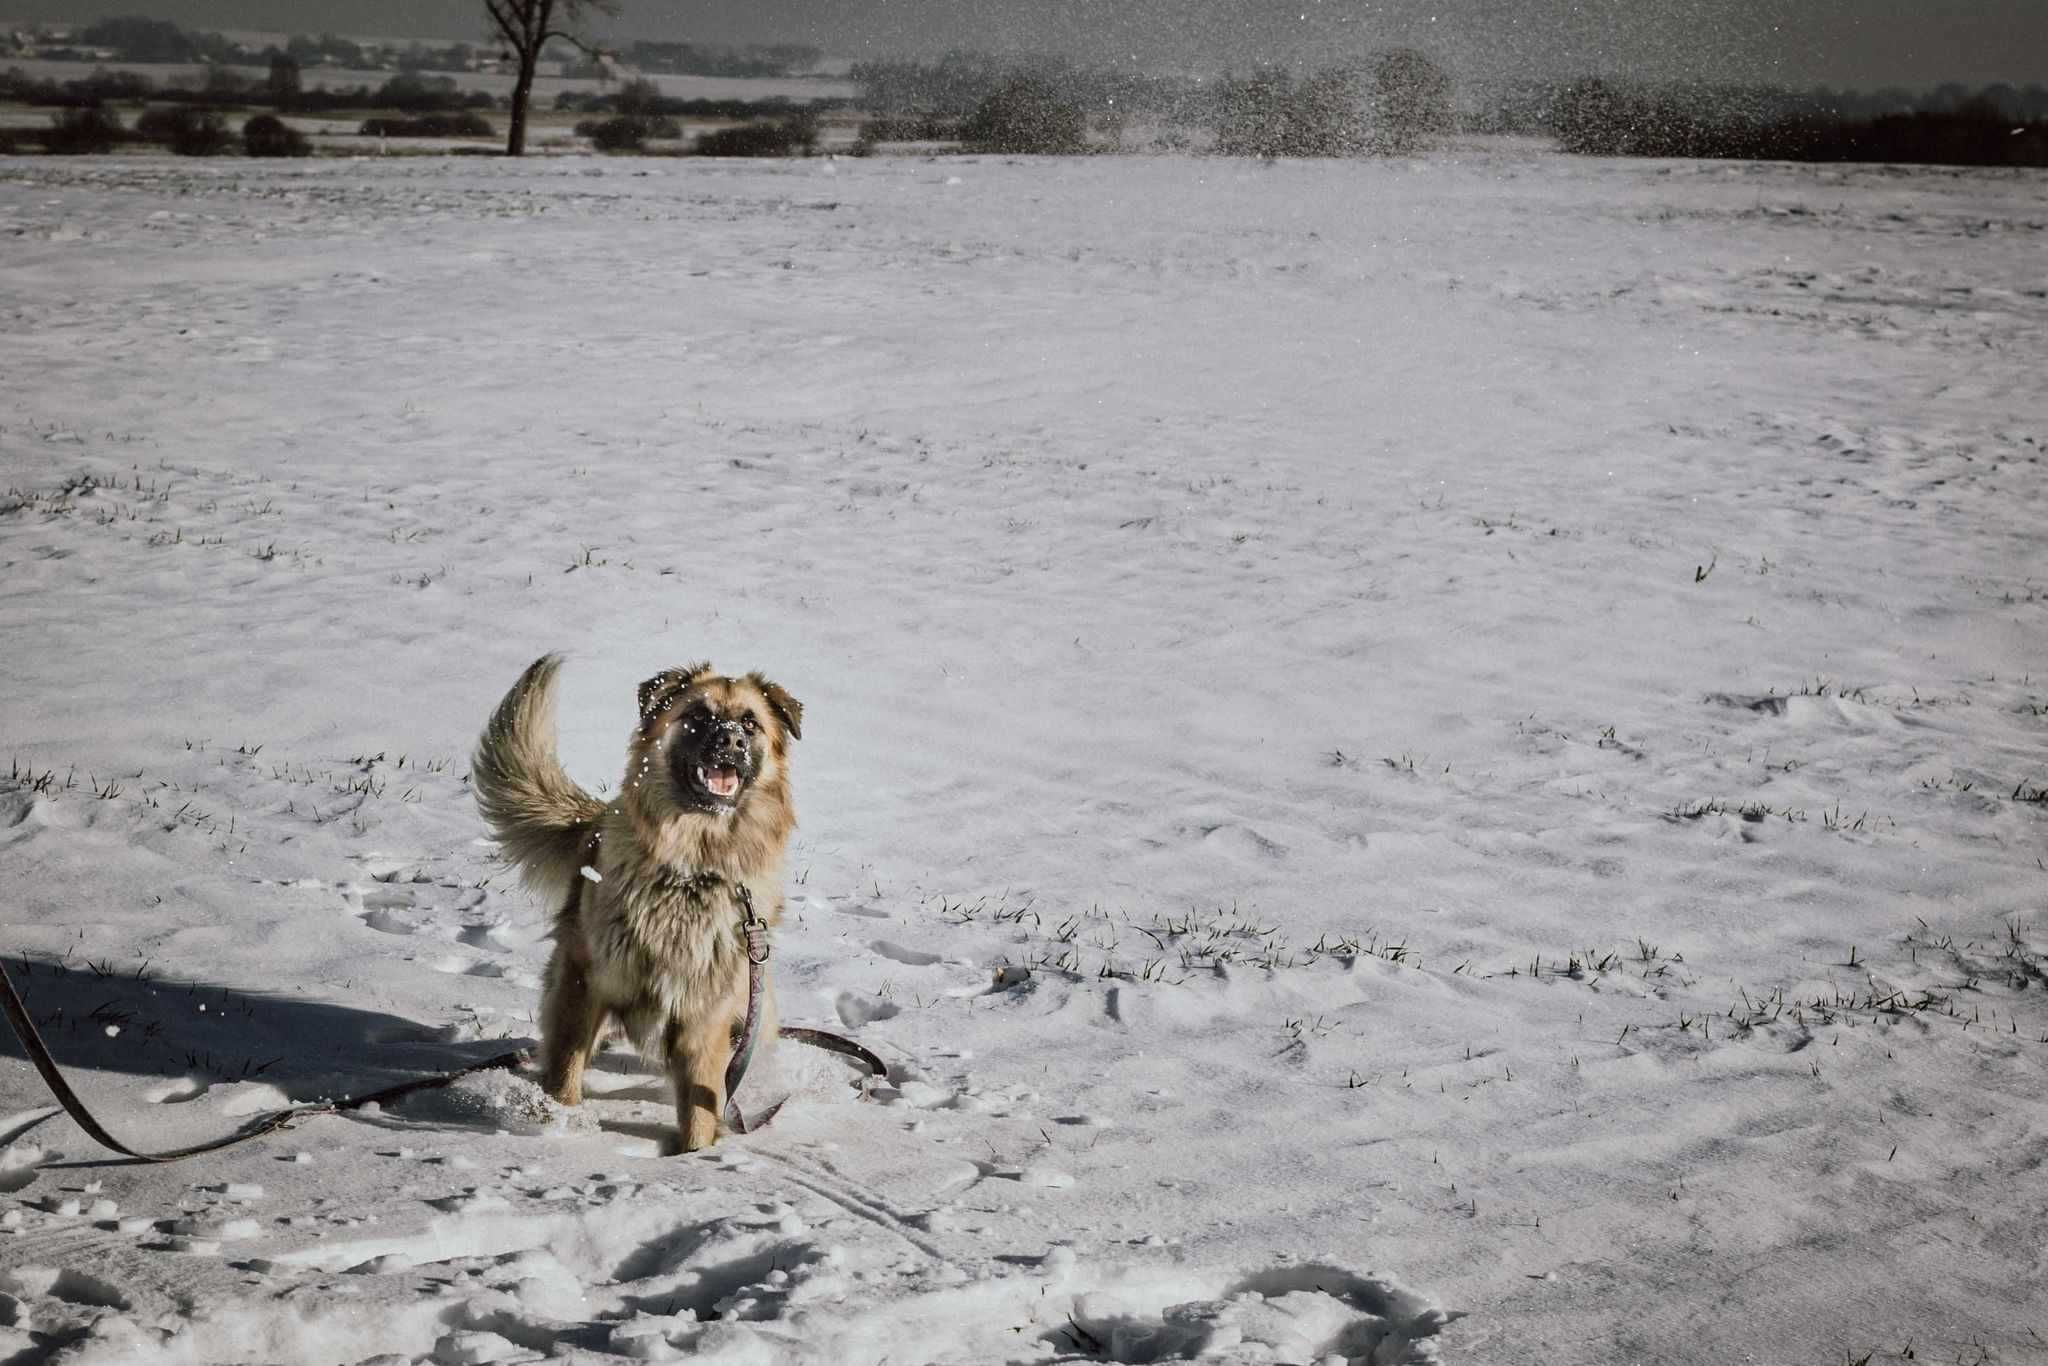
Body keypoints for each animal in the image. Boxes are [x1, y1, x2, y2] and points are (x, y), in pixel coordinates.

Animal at [475, 655, 802, 1146]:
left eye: (750, 722)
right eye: (699, 715)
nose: (730, 740)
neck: (690, 871)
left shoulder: (703, 1017)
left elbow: (702, 1106)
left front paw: (696, 1155)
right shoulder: (584, 982)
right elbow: (566, 1070)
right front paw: (561, 1126)